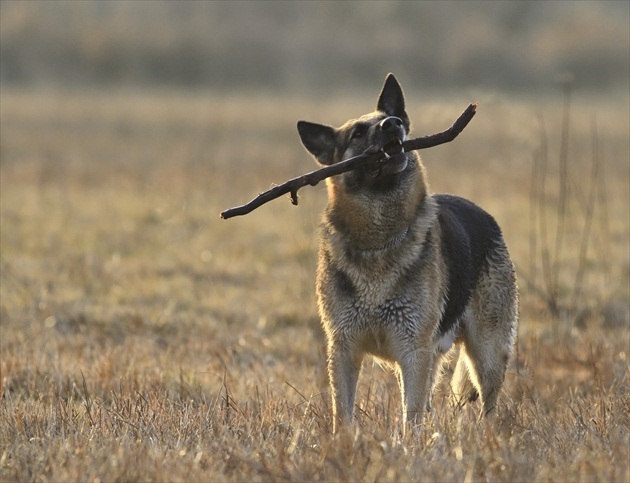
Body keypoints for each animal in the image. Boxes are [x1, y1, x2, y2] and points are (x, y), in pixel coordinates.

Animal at [298, 74, 520, 432]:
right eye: (357, 133)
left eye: (393, 120)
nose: (393, 124)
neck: (379, 240)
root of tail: (483, 213)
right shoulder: (344, 350)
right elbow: (342, 413)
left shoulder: (413, 351)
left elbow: (410, 416)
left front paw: (409, 446)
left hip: (486, 353)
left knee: (488, 405)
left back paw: (487, 437)